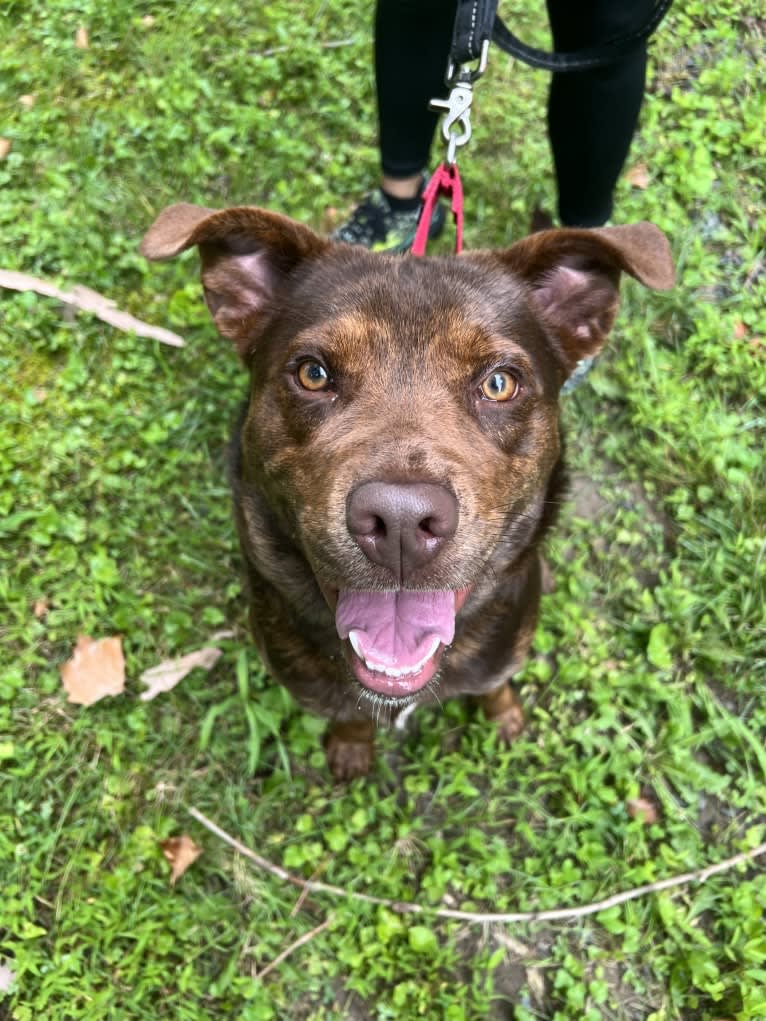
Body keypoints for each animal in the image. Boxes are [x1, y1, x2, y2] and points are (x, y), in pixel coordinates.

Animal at [140, 207, 674, 780]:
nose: (400, 522)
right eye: (313, 373)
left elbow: (495, 686)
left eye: (500, 383)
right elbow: (350, 714)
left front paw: (504, 717)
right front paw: (352, 747)